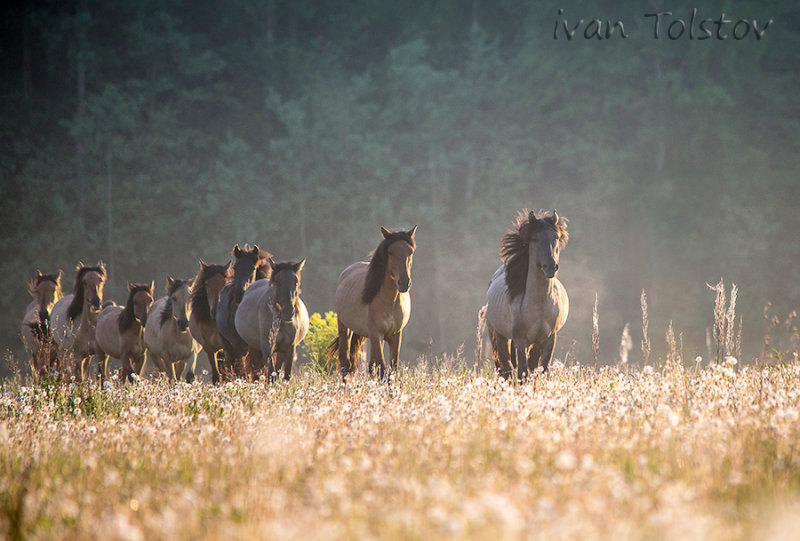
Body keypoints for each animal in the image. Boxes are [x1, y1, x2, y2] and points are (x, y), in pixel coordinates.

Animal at [326, 226, 416, 378]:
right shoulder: (376, 335)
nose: (404, 283)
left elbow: (392, 369)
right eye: (390, 252)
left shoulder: (396, 335)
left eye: (410, 252)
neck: (390, 302)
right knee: (345, 364)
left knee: (370, 366)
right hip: (345, 329)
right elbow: (383, 370)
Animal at [484, 209, 572, 378]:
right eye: (535, 239)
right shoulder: (520, 340)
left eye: (556, 237)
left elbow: (541, 369)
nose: (550, 267)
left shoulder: (548, 339)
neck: (540, 304)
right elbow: (523, 372)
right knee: (505, 369)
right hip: (499, 336)